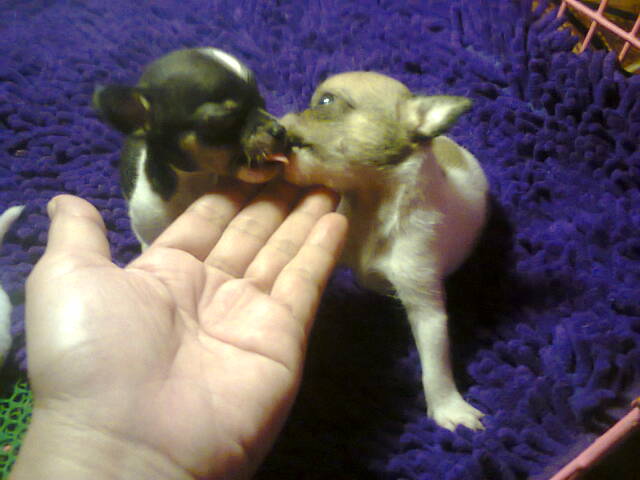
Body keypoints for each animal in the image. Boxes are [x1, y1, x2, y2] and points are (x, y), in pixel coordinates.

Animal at [279, 72, 489, 431]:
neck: (370, 207)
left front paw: (448, 407)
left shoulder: (423, 300)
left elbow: (435, 363)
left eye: (325, 101)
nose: (278, 123)